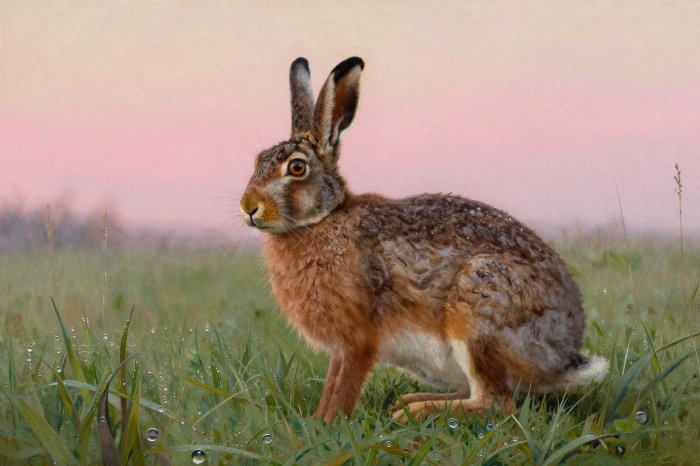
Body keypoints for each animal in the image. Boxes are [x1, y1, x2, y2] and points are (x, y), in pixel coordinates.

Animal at [239, 57, 609, 423]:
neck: (322, 219)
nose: (248, 207)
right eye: (257, 162)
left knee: (495, 403)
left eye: (296, 168)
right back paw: (410, 401)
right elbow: (332, 382)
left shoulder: (358, 338)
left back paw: (415, 412)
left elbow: (345, 386)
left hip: (479, 309)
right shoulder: (339, 349)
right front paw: (317, 419)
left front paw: (329, 424)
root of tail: (562, 357)